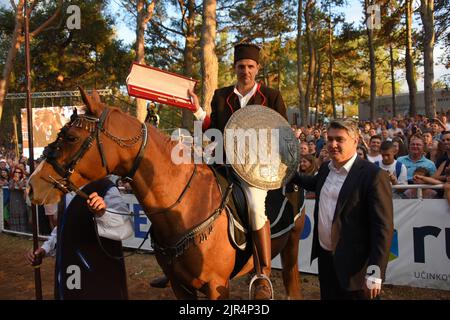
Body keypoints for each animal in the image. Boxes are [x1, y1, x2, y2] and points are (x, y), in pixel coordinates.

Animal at [28, 89, 306, 298]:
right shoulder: (179, 285)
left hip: (292, 247)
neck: (185, 209)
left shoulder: (217, 286)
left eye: (71, 137)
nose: (32, 185)